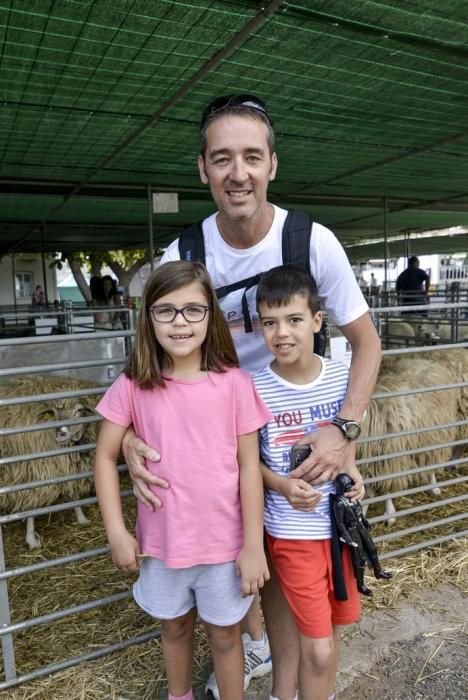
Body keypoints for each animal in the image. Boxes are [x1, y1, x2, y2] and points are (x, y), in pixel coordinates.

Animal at [0, 378, 101, 548]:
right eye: (54, 412)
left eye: (78, 411)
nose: (61, 433)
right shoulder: (35, 473)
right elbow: (32, 509)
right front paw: (31, 539)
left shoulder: (67, 468)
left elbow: (74, 495)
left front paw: (81, 518)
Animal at [358, 350, 464, 524]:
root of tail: (428, 361)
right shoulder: (370, 465)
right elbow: (368, 493)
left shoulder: (391, 462)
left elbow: (383, 492)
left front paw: (389, 515)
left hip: (435, 437)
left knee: (431, 464)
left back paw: (433, 487)